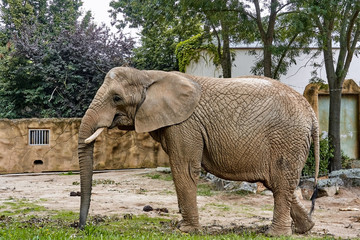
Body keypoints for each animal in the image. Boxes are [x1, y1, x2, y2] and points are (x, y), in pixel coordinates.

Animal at [77, 66, 320, 235]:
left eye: (116, 98)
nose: (80, 227)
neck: (149, 75)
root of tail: (311, 113)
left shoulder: (184, 125)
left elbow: (183, 169)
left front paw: (186, 230)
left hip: (287, 139)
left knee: (280, 184)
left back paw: (275, 234)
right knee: (280, 183)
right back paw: (305, 229)